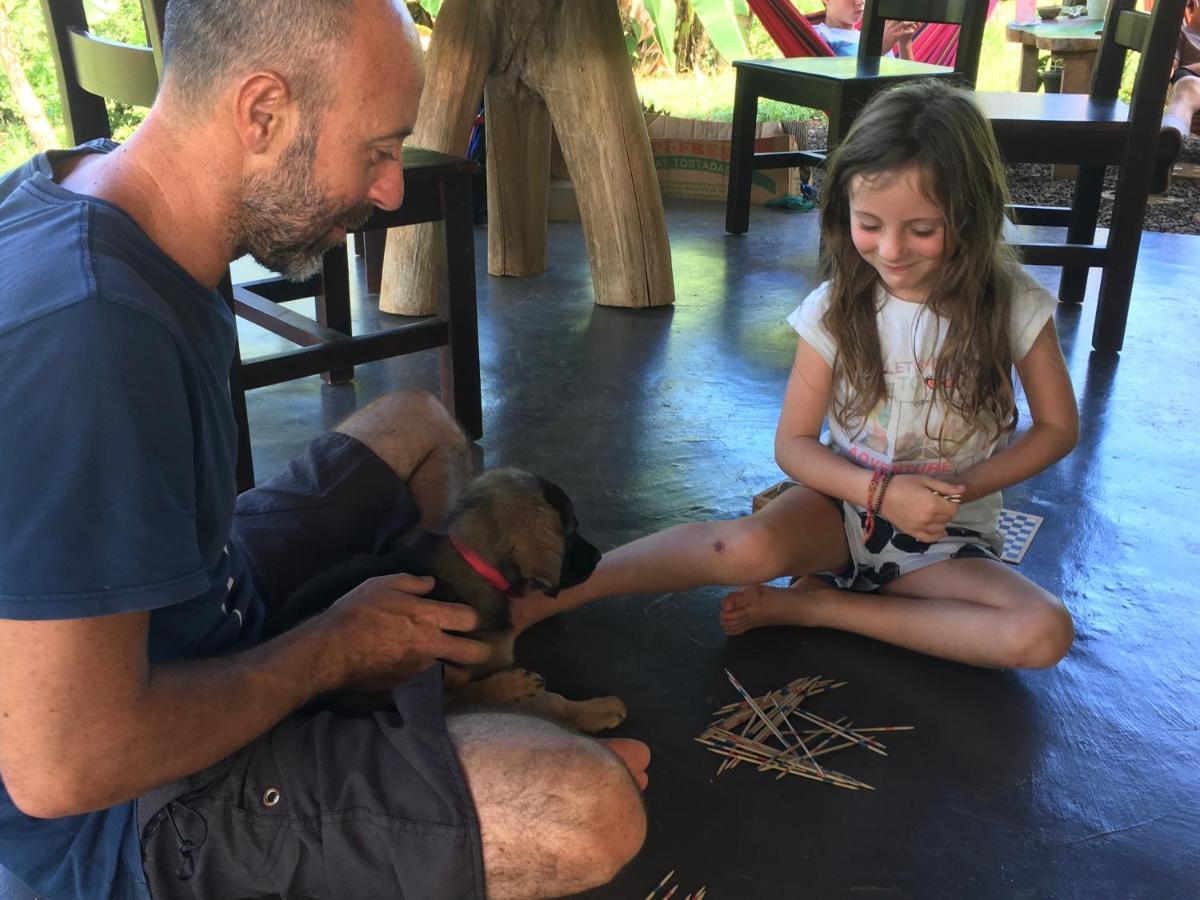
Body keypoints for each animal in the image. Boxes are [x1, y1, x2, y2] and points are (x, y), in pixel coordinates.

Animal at [268, 468, 633, 734]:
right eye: (569, 531)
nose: (599, 558)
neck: (475, 563)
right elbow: (548, 702)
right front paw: (594, 710)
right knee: (446, 699)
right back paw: (506, 687)